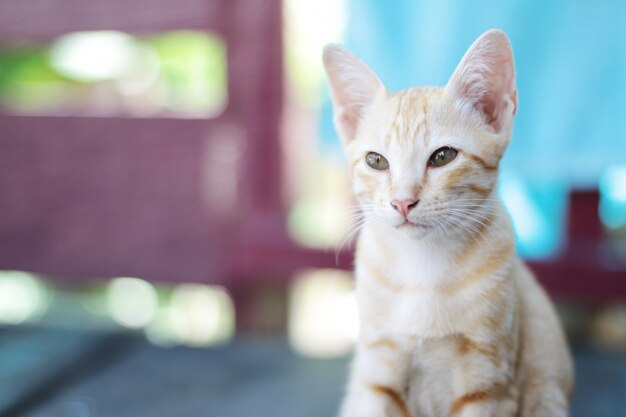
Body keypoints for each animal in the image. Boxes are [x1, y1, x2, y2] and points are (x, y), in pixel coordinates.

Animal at [322, 30, 572, 416]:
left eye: (443, 156)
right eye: (376, 161)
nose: (402, 201)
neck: (423, 267)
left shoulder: (489, 380)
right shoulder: (377, 372)